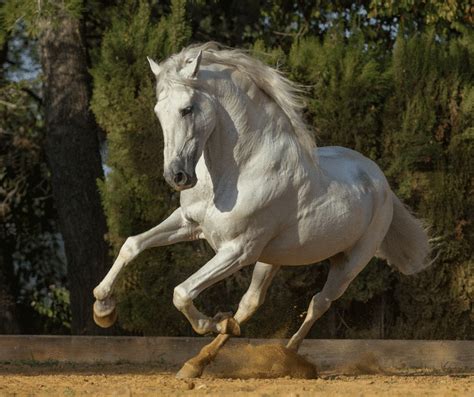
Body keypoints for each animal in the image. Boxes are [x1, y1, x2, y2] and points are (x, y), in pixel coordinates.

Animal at [92, 42, 434, 378]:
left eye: (187, 109)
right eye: (158, 111)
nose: (176, 176)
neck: (238, 171)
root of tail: (379, 180)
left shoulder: (238, 250)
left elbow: (182, 292)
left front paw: (211, 320)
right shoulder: (189, 224)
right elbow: (132, 245)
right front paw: (103, 308)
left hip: (350, 262)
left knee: (318, 303)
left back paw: (287, 356)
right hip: (272, 258)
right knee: (251, 303)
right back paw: (198, 361)